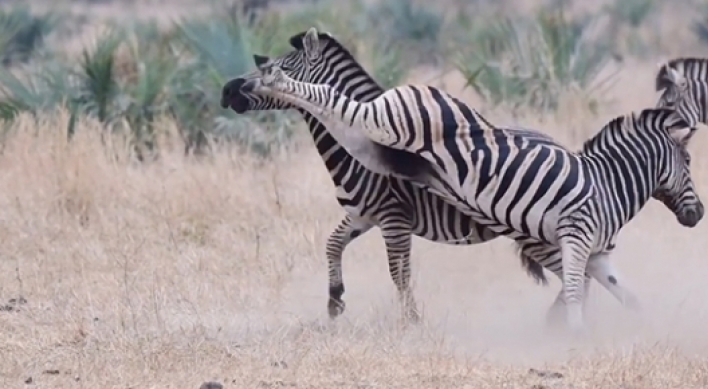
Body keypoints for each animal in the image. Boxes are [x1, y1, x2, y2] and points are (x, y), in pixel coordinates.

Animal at [236, 61, 704, 330]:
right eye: (689, 160)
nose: (698, 214)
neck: (609, 182)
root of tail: (420, 89)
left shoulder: (596, 253)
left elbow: (622, 293)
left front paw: (643, 330)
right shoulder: (575, 238)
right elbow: (576, 290)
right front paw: (575, 337)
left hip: (377, 140)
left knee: (341, 114)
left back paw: (268, 82)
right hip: (389, 122)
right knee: (338, 102)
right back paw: (274, 81)